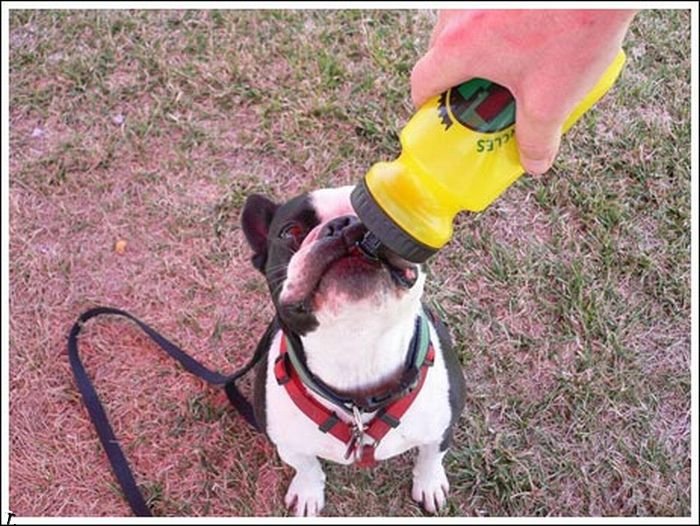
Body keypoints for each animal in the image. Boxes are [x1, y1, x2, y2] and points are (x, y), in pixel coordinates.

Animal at [241, 185, 466, 516]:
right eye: (289, 231)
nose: (343, 224)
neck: (356, 344)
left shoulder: (442, 428)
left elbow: (431, 457)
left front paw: (430, 484)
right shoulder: (288, 445)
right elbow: (306, 467)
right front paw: (308, 492)